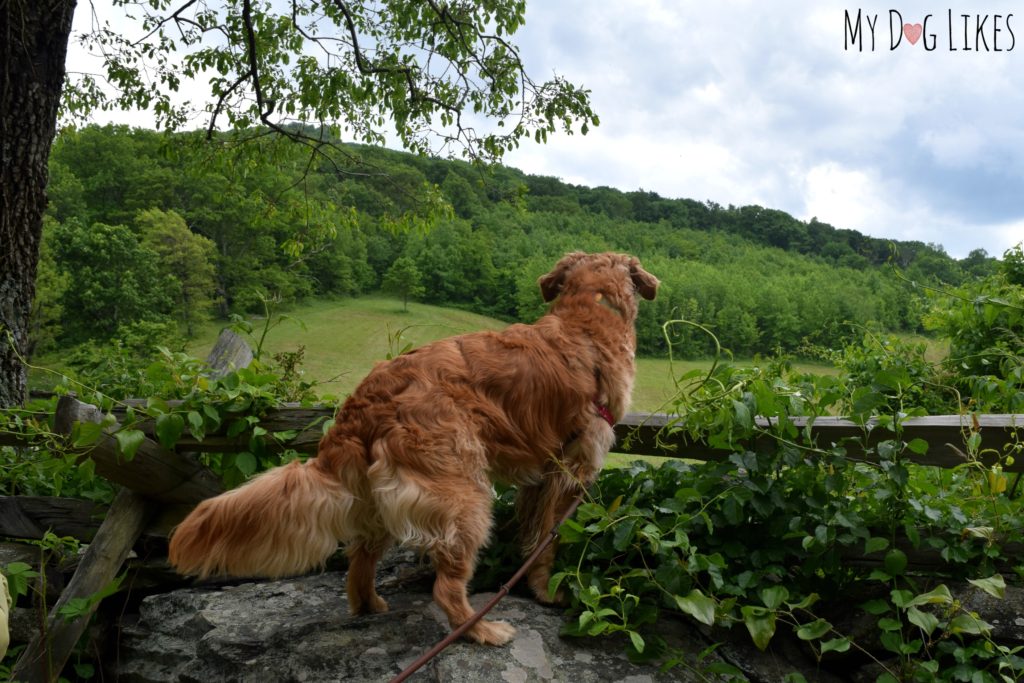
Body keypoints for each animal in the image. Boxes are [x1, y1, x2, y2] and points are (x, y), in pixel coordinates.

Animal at [169, 250, 655, 647]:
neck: (587, 312)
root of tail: (364, 400)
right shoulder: (572, 471)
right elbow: (548, 540)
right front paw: (545, 589)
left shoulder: (540, 476)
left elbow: (533, 533)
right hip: (464, 495)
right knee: (445, 586)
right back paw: (480, 629)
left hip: (383, 495)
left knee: (359, 559)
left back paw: (369, 607)